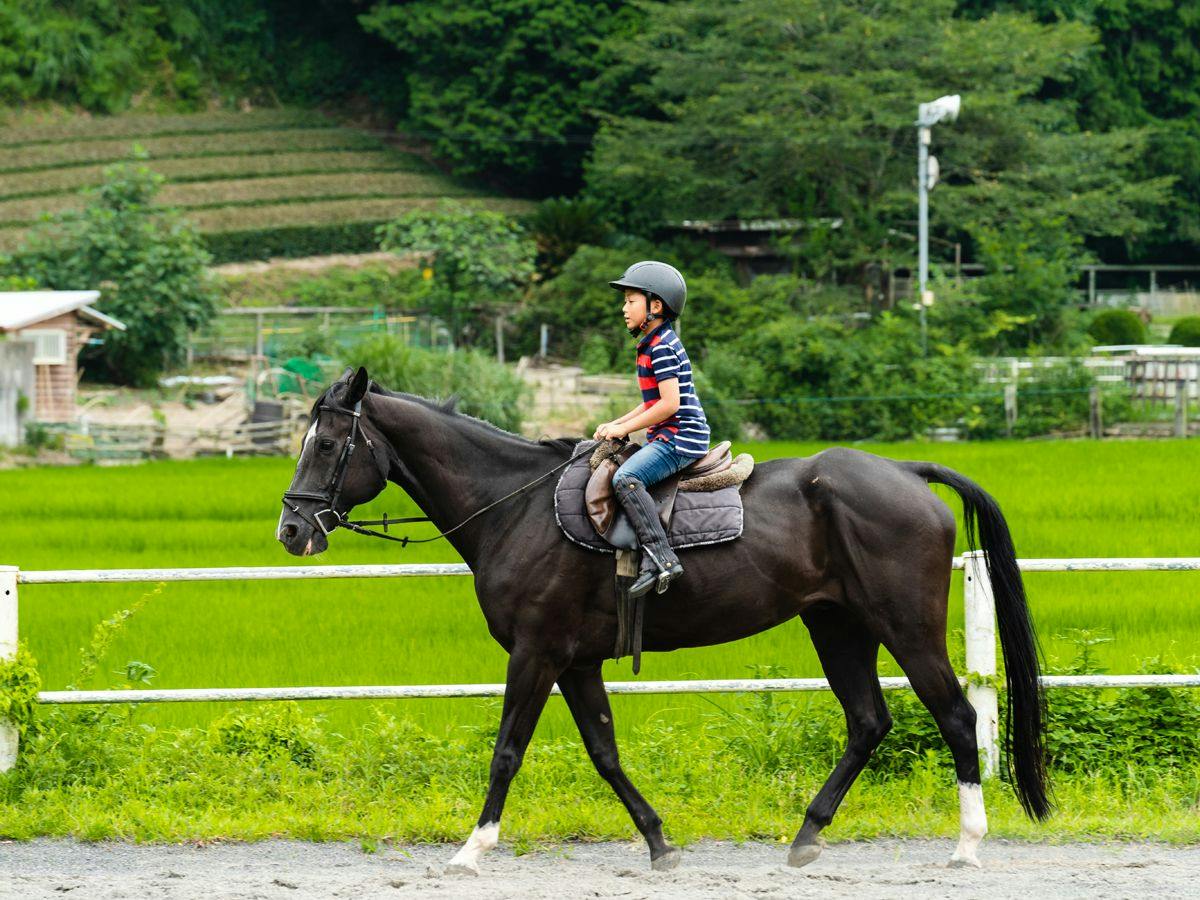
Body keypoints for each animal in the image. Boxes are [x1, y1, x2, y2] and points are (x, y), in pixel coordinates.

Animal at [277, 367, 1050, 875]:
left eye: (327, 445)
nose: (291, 530)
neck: (513, 506)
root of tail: (909, 473)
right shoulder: (576, 661)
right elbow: (605, 752)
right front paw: (659, 842)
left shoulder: (536, 653)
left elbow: (507, 751)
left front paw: (471, 850)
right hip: (837, 627)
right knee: (868, 721)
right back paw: (806, 836)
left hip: (904, 628)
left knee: (956, 717)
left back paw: (967, 844)